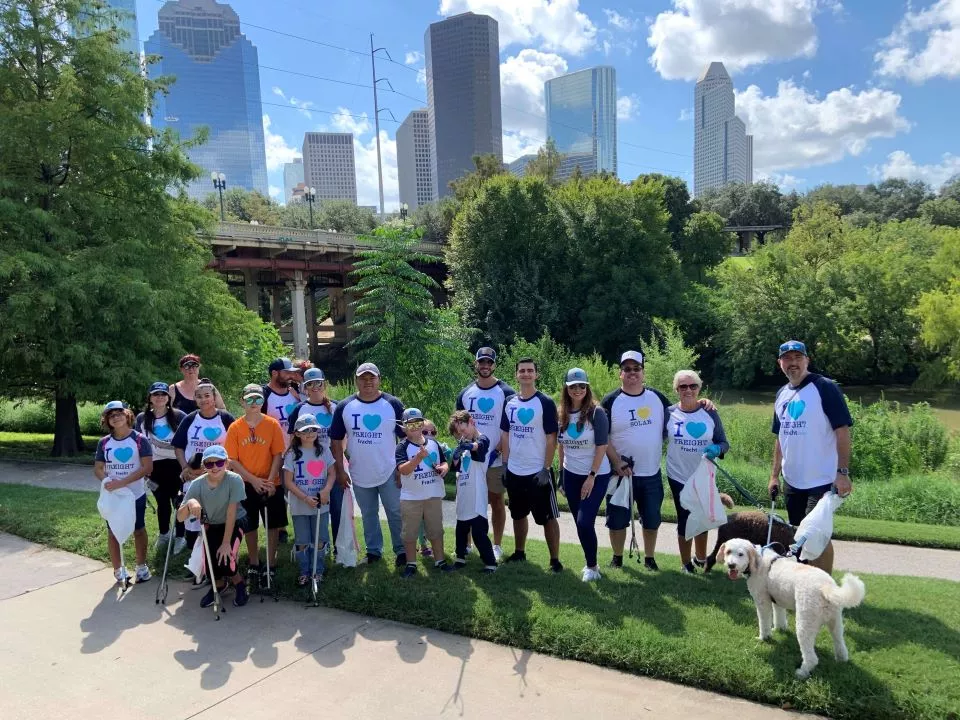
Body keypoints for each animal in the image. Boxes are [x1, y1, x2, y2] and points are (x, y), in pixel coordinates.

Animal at [720, 536, 864, 676]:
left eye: (741, 554)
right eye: (728, 552)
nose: (731, 565)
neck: (758, 561)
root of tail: (826, 587)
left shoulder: (762, 602)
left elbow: (764, 623)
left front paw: (763, 637)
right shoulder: (777, 600)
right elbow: (779, 616)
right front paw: (779, 629)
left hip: (805, 624)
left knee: (811, 657)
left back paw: (802, 672)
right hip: (836, 622)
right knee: (840, 644)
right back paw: (841, 660)